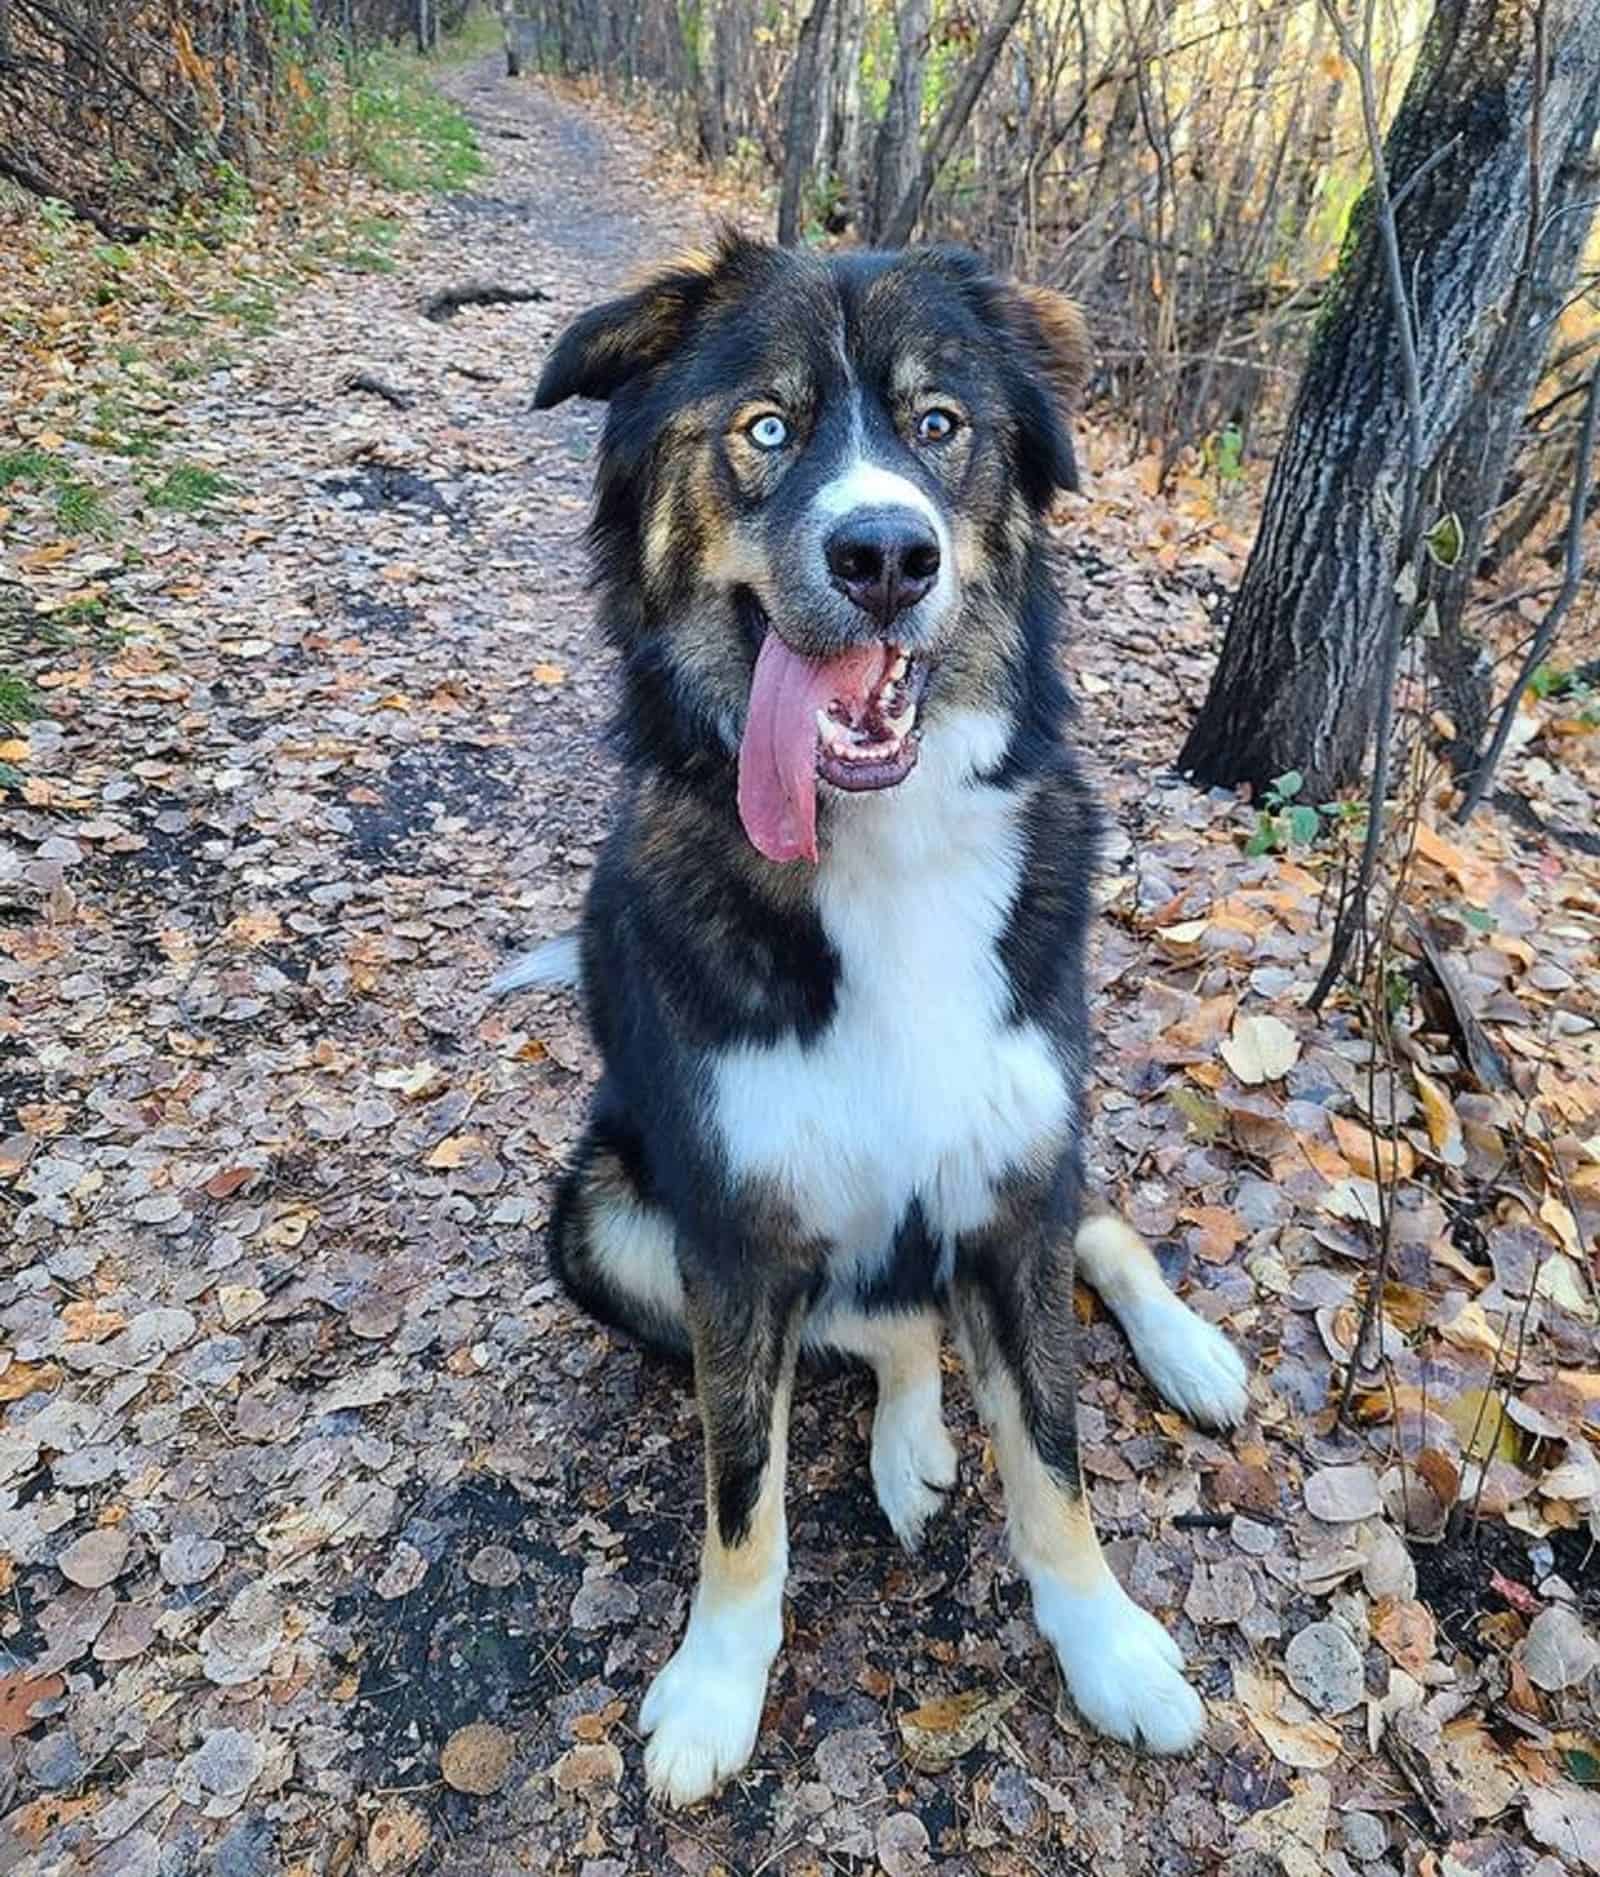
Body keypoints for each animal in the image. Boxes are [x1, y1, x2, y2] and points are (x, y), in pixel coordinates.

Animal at [499, 234, 1246, 1801]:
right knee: (883, 1324)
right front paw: (718, 1682)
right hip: (604, 1221)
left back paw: (1190, 1354)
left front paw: (1111, 1646)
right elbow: (744, 1487)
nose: (888, 556)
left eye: (940, 425)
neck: (879, 850)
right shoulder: (734, 1229)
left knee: (1084, 1238)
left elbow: (1053, 1456)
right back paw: (908, 1444)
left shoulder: (1018, 1177)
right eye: (768, 429)